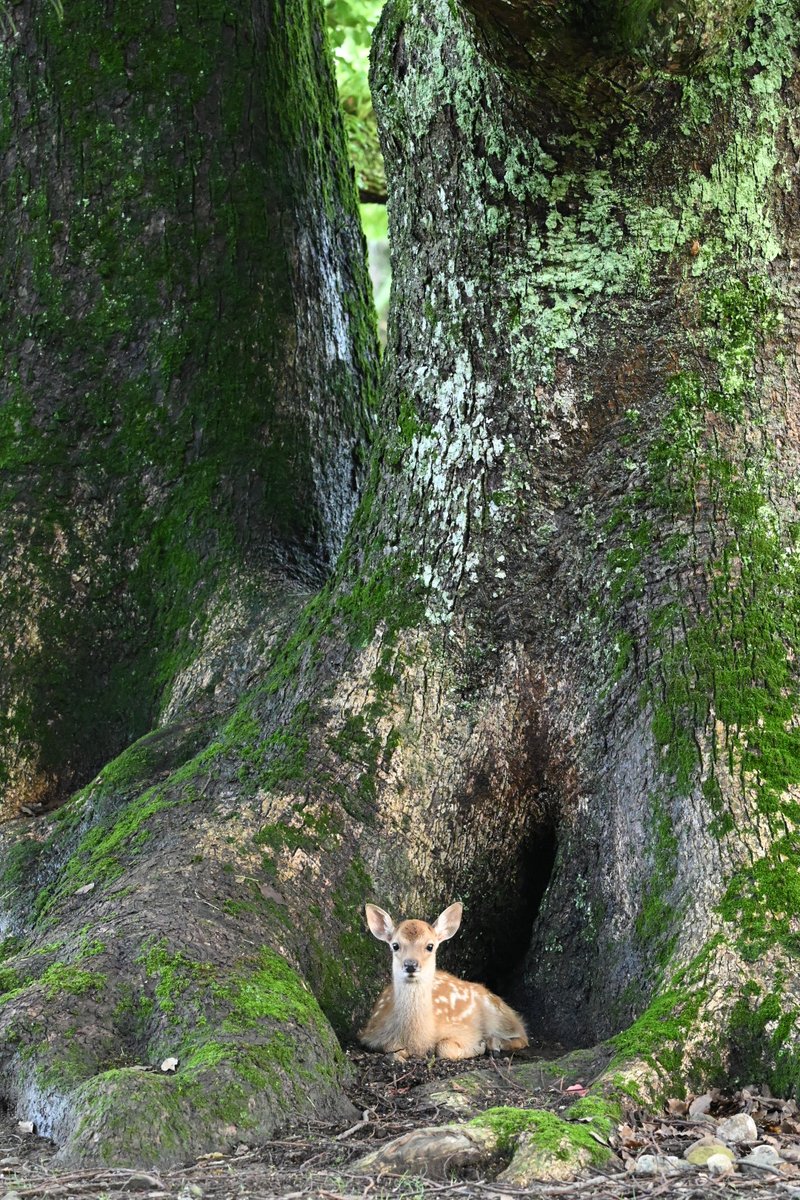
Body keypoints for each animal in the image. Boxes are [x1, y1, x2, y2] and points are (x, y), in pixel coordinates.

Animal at [359, 901, 528, 1060]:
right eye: (395, 945)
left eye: (430, 946)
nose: (411, 965)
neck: (419, 1039)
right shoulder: (371, 1034)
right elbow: (390, 1047)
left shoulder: (464, 1029)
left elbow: (444, 1047)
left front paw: (479, 1046)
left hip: (496, 1011)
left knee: (522, 1035)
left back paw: (493, 1045)